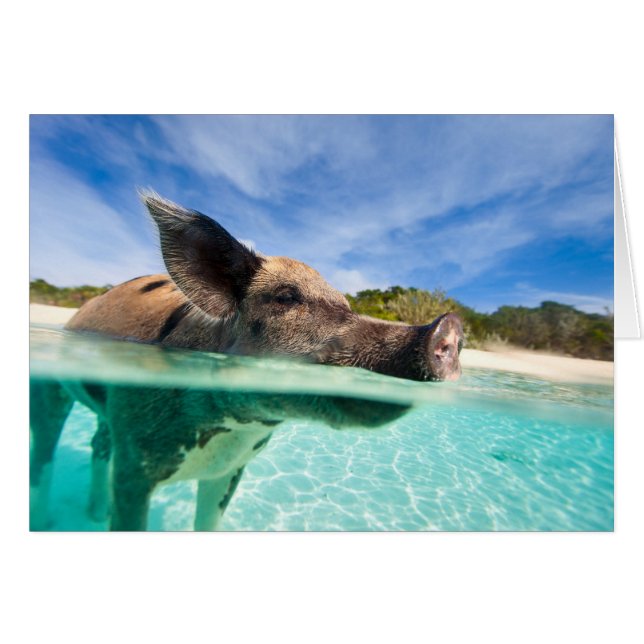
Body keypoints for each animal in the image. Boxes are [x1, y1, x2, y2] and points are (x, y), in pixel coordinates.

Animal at [29, 192, 463, 531]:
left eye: (346, 305)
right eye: (286, 297)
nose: (447, 327)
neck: (232, 428)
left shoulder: (230, 468)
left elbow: (208, 523)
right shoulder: (134, 461)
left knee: (97, 443)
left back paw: (92, 515)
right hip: (51, 392)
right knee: (45, 449)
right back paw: (49, 521)